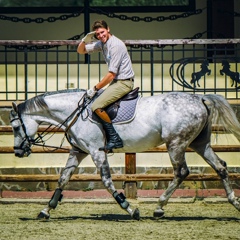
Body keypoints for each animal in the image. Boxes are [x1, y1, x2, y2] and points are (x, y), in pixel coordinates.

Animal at [9, 89, 240, 219]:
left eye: (15, 127)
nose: (18, 152)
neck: (75, 112)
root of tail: (200, 98)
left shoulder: (96, 151)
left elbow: (106, 181)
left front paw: (130, 209)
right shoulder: (79, 151)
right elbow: (63, 178)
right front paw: (46, 210)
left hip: (176, 144)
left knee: (181, 172)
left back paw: (159, 207)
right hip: (200, 144)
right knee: (221, 167)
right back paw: (234, 202)